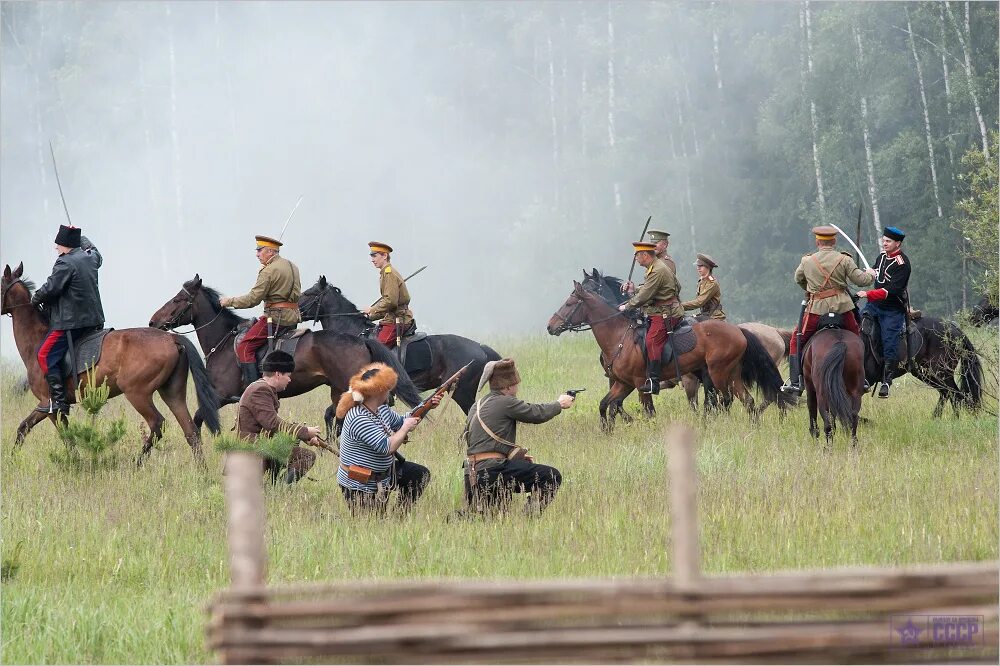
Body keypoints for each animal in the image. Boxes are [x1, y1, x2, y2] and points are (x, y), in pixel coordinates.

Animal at [1, 260, 221, 462]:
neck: (37, 339)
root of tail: (172, 338)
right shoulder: (46, 406)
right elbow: (24, 427)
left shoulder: (49, 405)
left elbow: (65, 437)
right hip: (172, 393)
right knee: (191, 431)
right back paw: (201, 471)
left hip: (137, 394)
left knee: (157, 424)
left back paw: (137, 463)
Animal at [146, 272, 420, 434]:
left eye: (179, 299)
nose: (153, 322)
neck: (223, 341)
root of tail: (360, 341)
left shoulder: (221, 395)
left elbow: (200, 418)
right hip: (338, 390)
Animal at [544, 276, 792, 428]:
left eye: (569, 303)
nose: (550, 326)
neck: (619, 336)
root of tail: (738, 330)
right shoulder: (622, 383)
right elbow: (607, 404)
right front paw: (608, 430)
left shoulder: (640, 383)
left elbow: (647, 411)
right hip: (731, 374)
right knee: (746, 400)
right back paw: (752, 426)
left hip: (718, 374)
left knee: (726, 400)